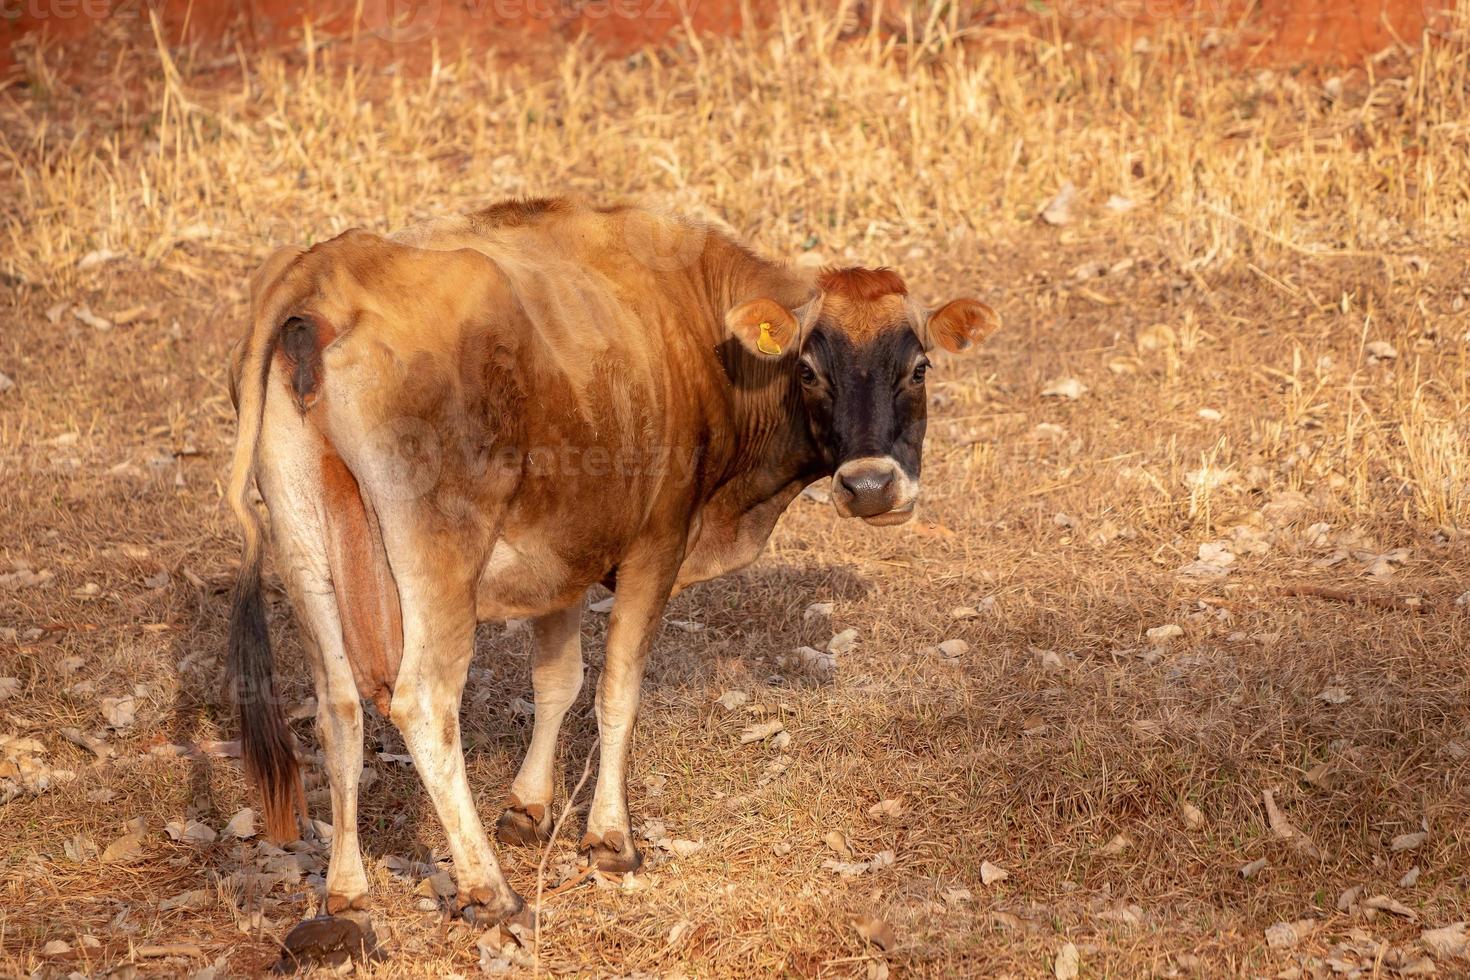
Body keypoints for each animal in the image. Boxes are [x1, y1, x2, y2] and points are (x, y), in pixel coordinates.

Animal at [220, 195, 999, 952]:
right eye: (809, 369)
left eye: (919, 367)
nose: (870, 486)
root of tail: (328, 268)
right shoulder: (657, 542)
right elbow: (617, 692)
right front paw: (609, 839)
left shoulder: (564, 551)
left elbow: (557, 681)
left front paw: (529, 806)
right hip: (438, 558)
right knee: (422, 703)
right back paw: (490, 891)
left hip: (304, 546)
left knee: (339, 707)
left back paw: (346, 898)